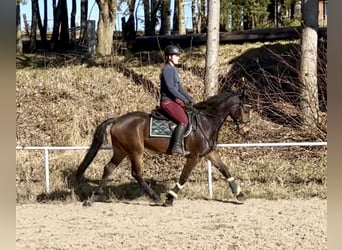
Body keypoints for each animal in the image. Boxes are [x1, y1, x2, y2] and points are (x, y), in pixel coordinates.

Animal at [75, 89, 251, 206]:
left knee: (109, 168)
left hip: (121, 151)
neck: (206, 121)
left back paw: (92, 198)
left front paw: (240, 195)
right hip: (135, 151)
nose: (246, 130)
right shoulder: (194, 156)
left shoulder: (209, 153)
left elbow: (225, 170)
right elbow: (184, 176)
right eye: (245, 109)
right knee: (136, 173)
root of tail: (118, 119)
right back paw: (155, 197)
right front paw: (170, 197)